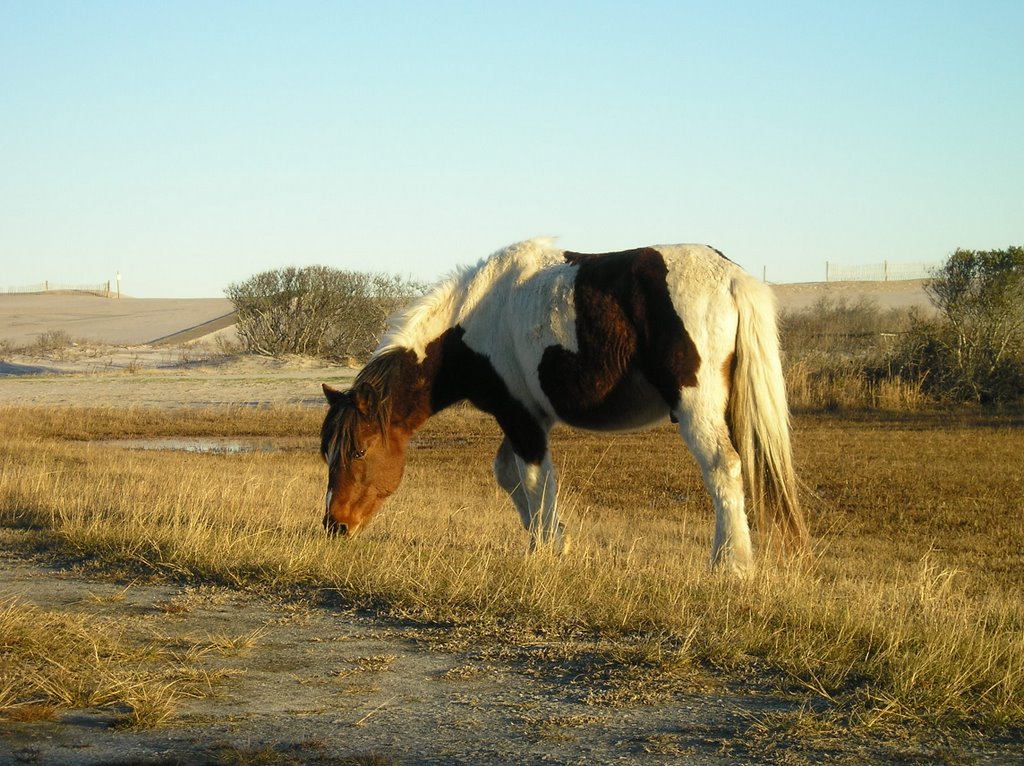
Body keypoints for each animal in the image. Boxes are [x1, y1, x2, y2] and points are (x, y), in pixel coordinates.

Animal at [319, 239, 806, 573]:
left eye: (359, 450)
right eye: (329, 453)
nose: (334, 526)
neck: (474, 323)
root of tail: (731, 275)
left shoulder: (521, 420)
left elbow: (536, 481)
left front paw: (545, 549)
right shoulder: (525, 418)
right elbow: (509, 475)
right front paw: (553, 540)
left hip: (697, 409)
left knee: (724, 468)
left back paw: (731, 566)